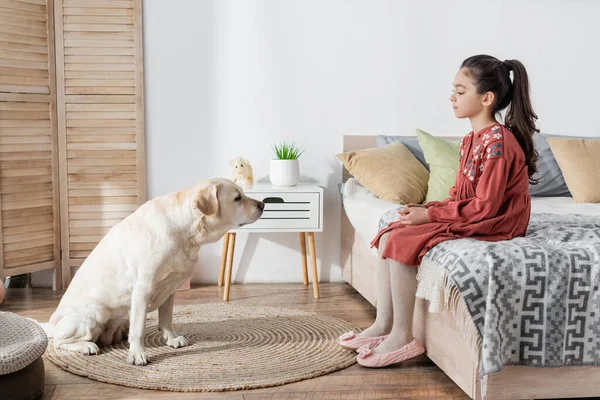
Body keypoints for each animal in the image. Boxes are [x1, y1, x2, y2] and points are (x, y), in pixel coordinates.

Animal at [46, 179, 262, 366]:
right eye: (237, 197)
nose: (262, 204)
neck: (185, 231)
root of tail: (50, 323)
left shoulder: (170, 289)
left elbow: (166, 319)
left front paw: (172, 339)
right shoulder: (143, 289)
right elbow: (139, 328)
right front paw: (137, 354)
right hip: (94, 313)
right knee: (58, 341)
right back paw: (87, 346)